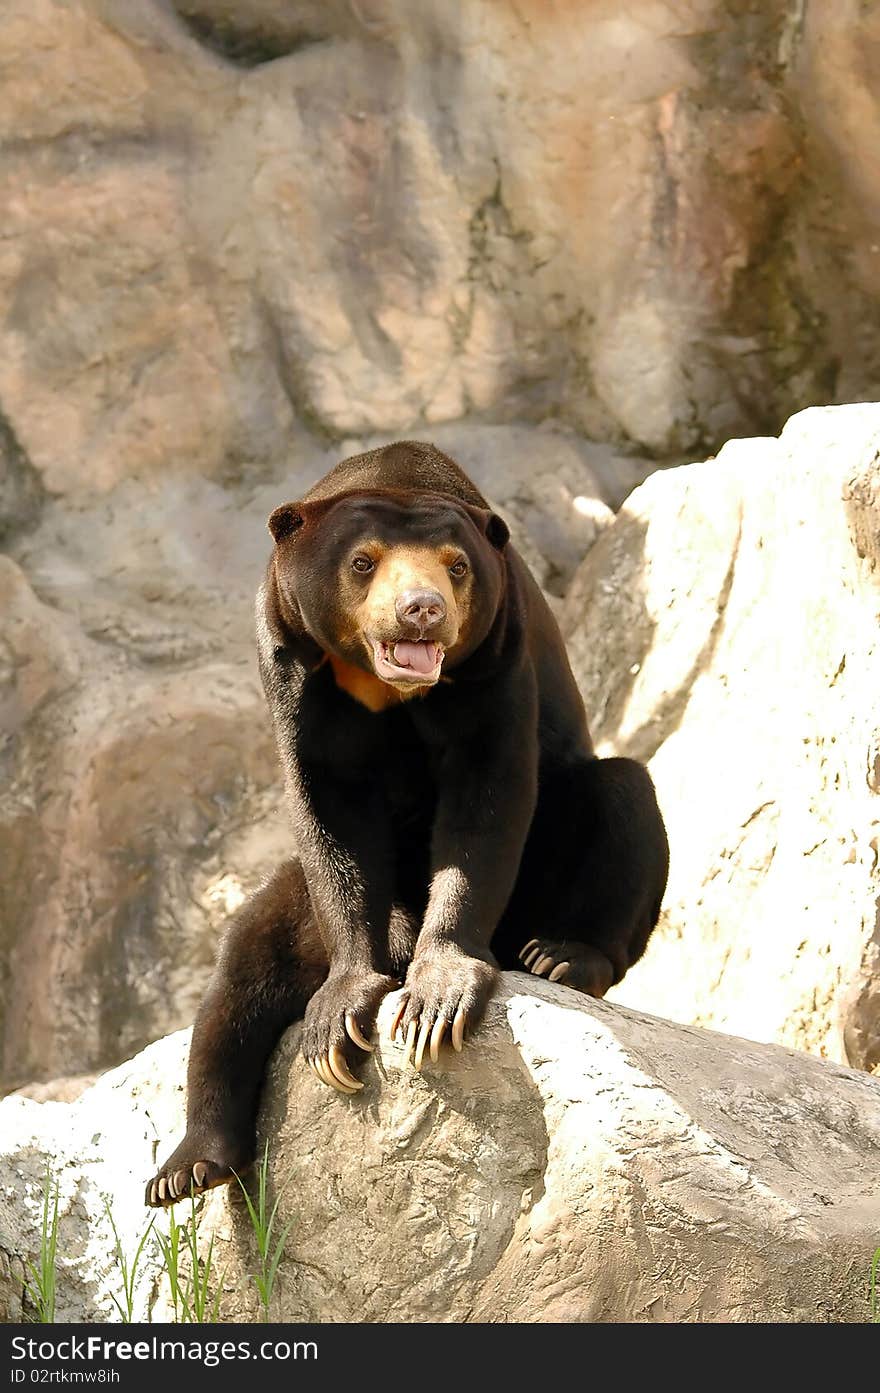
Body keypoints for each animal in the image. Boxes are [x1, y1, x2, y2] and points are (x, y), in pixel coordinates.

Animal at [142, 440, 665, 1203]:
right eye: (363, 561)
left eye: (456, 565)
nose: (422, 610)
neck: (380, 682)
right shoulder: (288, 655)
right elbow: (329, 813)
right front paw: (342, 1015)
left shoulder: (495, 653)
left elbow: (486, 796)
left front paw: (434, 999)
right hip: (291, 904)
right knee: (242, 971)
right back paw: (187, 1168)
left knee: (624, 797)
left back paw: (561, 955)